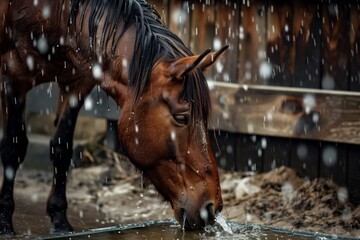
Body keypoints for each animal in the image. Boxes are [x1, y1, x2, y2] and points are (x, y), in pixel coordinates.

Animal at [0, 0, 229, 236]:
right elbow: (13, 149)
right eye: (181, 117)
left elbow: (62, 148)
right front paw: (5, 223)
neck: (55, 15)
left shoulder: (77, 83)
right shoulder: (13, 76)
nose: (212, 207)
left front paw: (60, 221)